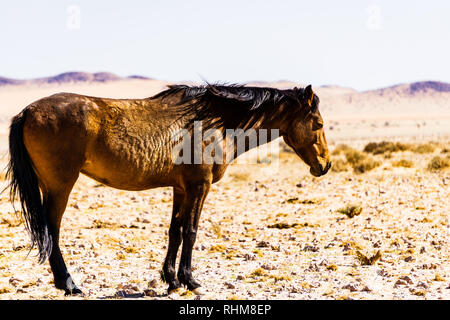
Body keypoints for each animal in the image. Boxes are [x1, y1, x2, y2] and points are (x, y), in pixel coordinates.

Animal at [6, 82, 330, 296]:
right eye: (318, 123)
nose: (325, 165)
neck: (215, 122)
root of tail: (27, 111)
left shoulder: (182, 189)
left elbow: (175, 231)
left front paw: (171, 280)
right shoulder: (200, 186)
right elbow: (191, 231)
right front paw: (190, 280)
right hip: (60, 185)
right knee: (52, 230)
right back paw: (70, 284)